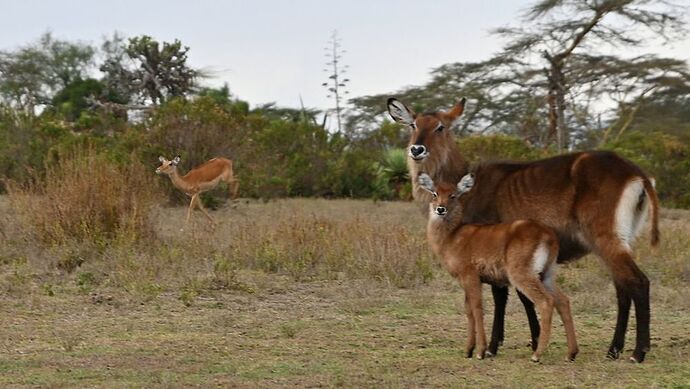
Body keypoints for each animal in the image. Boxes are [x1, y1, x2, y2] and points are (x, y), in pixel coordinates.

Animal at [420, 173, 576, 360]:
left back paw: (537, 355)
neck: (451, 236)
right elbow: (468, 310)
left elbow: (477, 308)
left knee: (546, 302)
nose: (440, 209)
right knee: (563, 301)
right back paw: (571, 353)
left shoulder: (470, 275)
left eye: (453, 195)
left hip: (522, 274)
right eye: (434, 194)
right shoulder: (465, 280)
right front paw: (468, 349)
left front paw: (480, 351)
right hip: (547, 274)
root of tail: (549, 236)